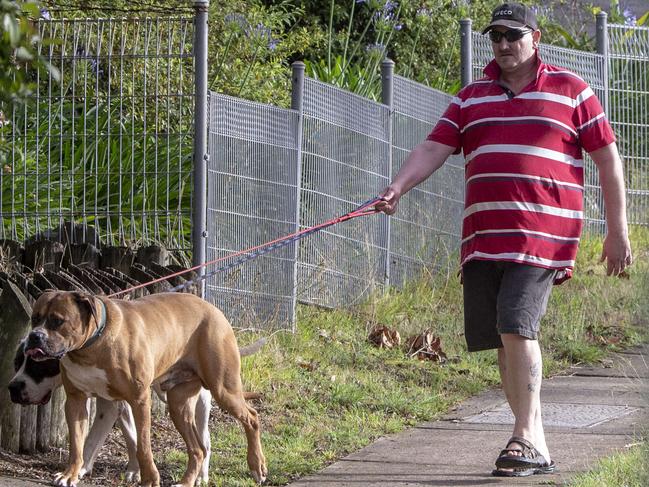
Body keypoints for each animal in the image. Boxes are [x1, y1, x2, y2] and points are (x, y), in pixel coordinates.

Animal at [24, 292, 264, 486]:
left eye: (57, 321)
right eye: (34, 318)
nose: (35, 336)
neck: (90, 348)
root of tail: (214, 309)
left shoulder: (139, 400)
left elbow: (143, 445)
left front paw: (149, 479)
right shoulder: (76, 401)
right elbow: (76, 444)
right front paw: (70, 475)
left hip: (223, 389)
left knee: (251, 418)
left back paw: (257, 467)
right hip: (178, 404)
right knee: (198, 449)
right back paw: (185, 482)